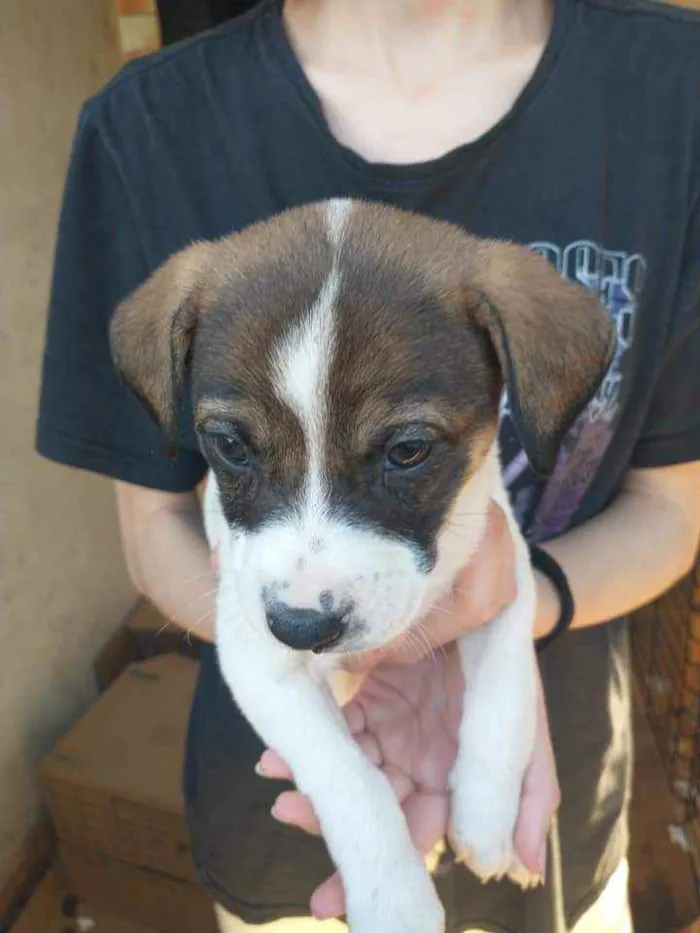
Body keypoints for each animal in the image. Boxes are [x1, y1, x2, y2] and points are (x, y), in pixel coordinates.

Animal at [110, 200, 616, 928]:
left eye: (408, 450)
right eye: (229, 446)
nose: (301, 629)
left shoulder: (506, 570)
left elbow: (506, 696)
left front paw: (487, 818)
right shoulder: (254, 651)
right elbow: (349, 778)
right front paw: (395, 896)